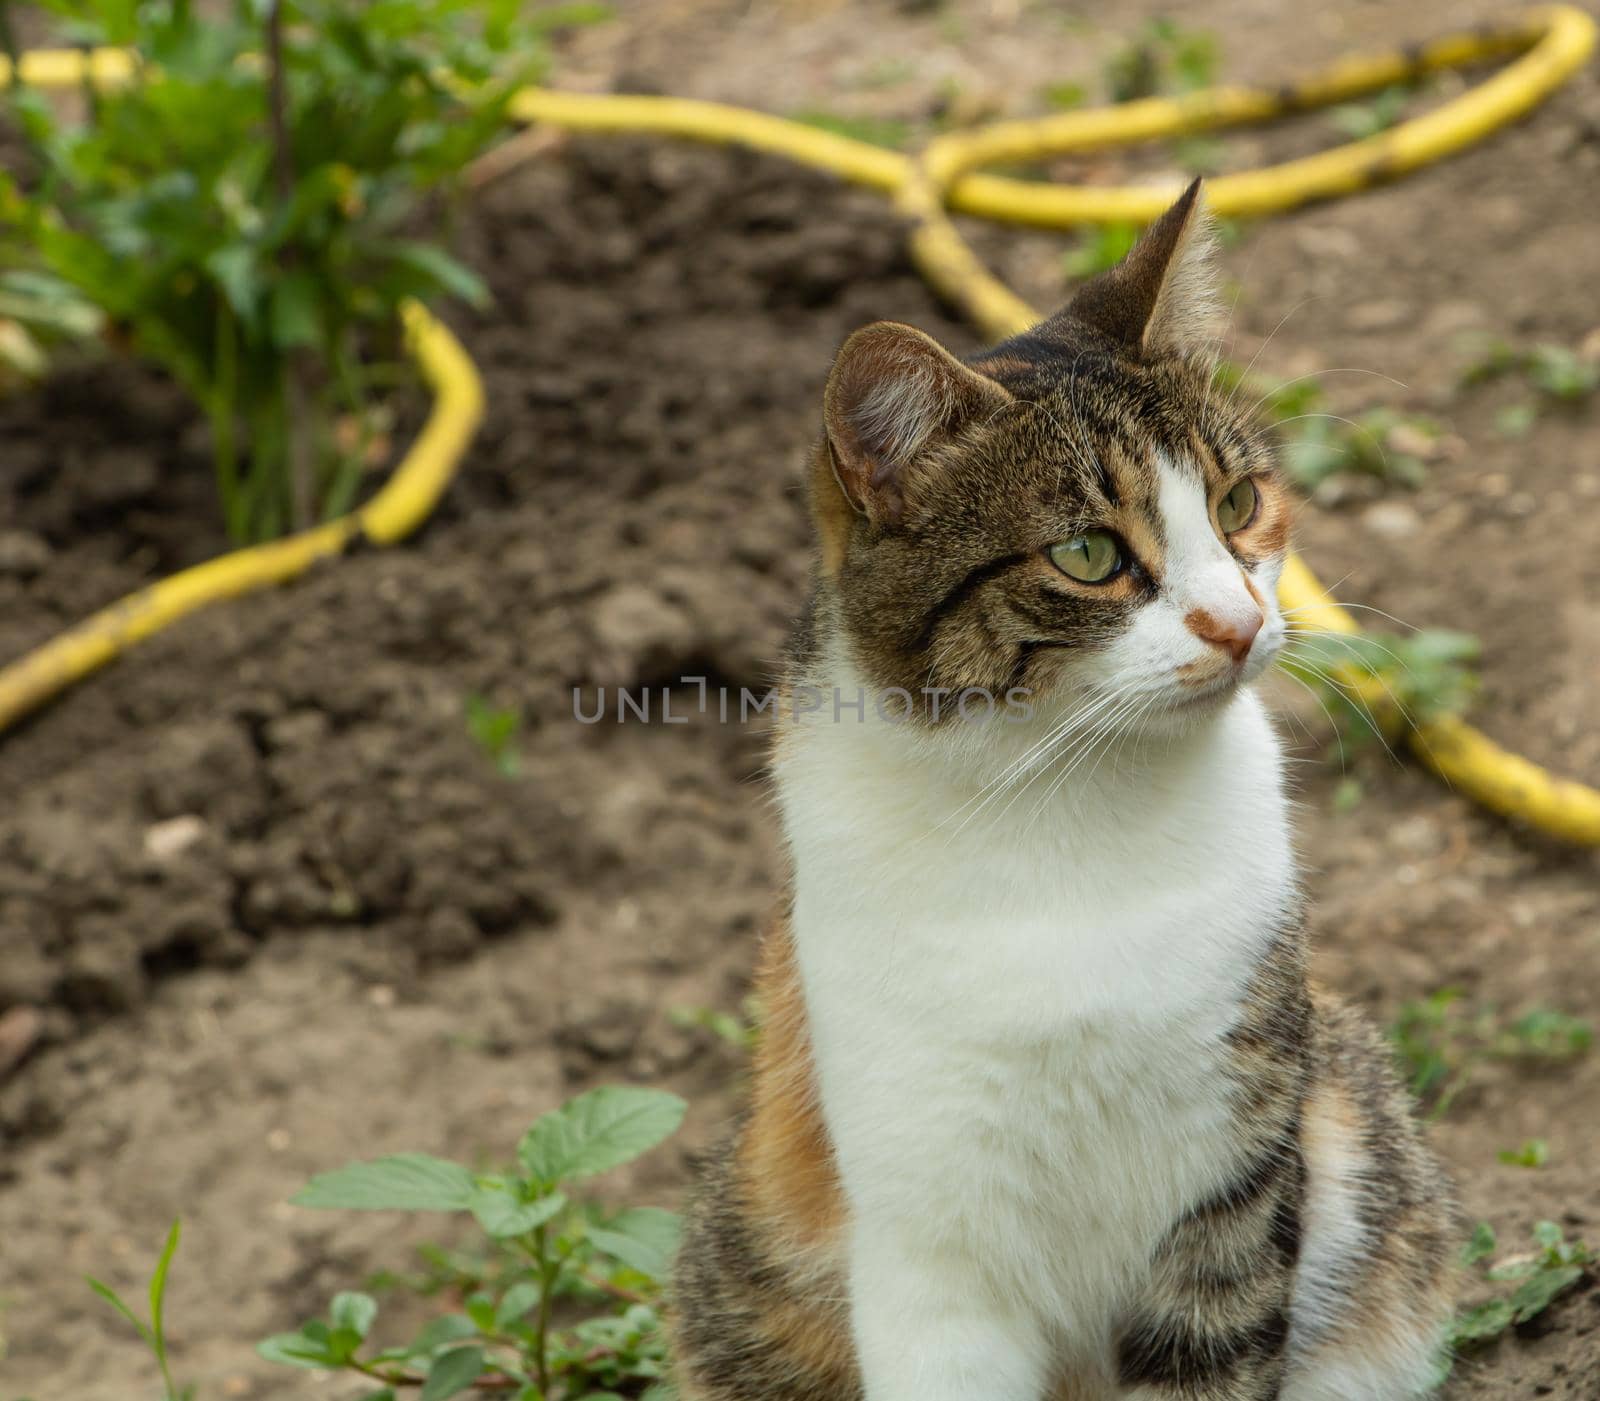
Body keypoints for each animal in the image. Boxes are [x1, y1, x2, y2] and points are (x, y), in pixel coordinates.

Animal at [668, 180, 1459, 1394]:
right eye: (1087, 554)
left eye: (1238, 503)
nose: (1239, 622)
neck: (1066, 804)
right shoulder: (928, 1241)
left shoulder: (1232, 1176)